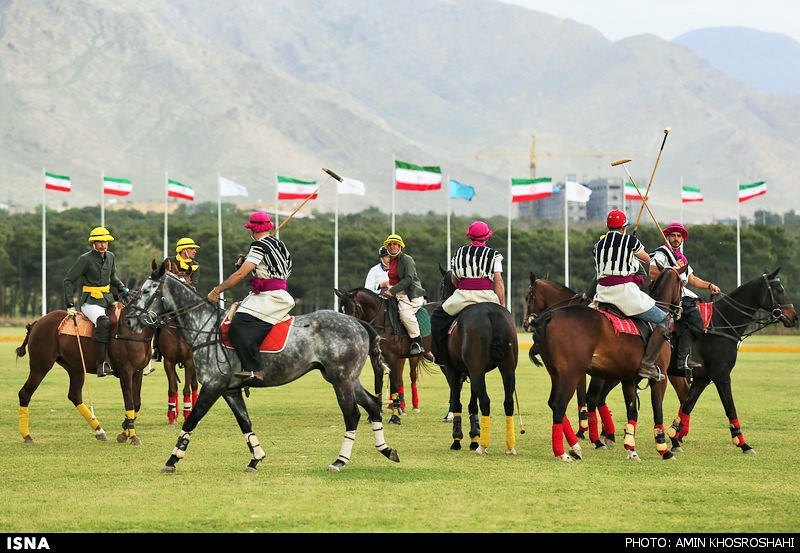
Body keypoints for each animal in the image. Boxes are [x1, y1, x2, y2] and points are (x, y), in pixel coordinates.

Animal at [16, 302, 155, 444]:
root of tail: (37, 322)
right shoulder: (125, 372)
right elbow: (130, 403)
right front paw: (132, 437)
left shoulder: (137, 372)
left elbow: (136, 403)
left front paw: (124, 433)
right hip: (40, 366)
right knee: (25, 393)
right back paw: (27, 436)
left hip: (74, 368)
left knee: (74, 395)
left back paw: (99, 431)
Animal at [128, 260, 400, 472]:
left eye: (145, 291)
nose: (131, 320)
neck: (205, 327)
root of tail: (359, 323)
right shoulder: (230, 390)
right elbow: (245, 423)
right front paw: (255, 459)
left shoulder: (213, 387)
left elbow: (191, 421)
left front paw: (172, 459)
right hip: (348, 378)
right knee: (372, 404)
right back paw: (387, 450)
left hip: (341, 379)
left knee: (352, 414)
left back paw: (340, 460)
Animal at [438, 268, 520, 452]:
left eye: (442, 287)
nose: (442, 298)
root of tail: (491, 313)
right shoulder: (471, 371)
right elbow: (472, 405)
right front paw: (474, 436)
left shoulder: (454, 370)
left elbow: (458, 402)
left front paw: (458, 440)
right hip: (507, 369)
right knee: (508, 402)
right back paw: (509, 446)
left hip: (475, 371)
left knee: (485, 401)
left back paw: (483, 446)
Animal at [532, 266, 680, 462]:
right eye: (682, 282)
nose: (679, 309)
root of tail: (549, 316)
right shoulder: (659, 378)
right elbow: (657, 411)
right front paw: (664, 449)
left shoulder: (628, 379)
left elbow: (632, 411)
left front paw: (631, 449)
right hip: (572, 373)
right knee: (560, 404)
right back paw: (565, 451)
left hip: (558, 373)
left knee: (556, 402)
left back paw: (580, 445)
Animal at [664, 268, 800, 452]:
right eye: (779, 289)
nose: (794, 317)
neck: (722, 324)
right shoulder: (721, 376)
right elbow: (730, 408)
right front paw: (743, 443)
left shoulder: (702, 379)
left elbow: (687, 405)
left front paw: (674, 436)